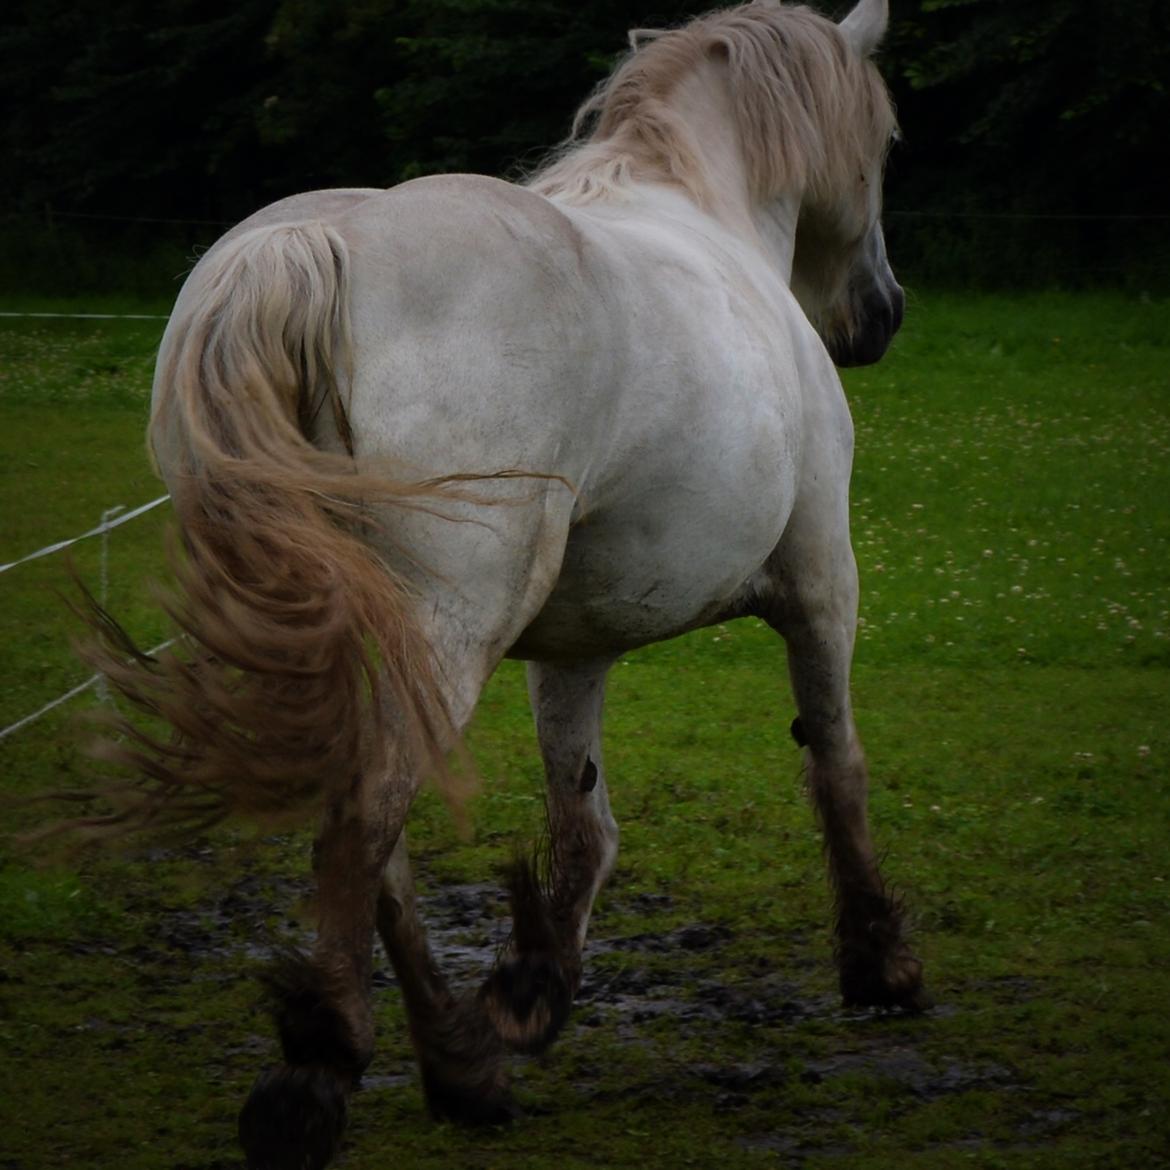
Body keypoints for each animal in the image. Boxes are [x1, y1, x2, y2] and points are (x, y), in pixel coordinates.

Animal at [80, 4, 921, 1165]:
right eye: (883, 147)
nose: (881, 315)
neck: (703, 213)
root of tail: (309, 248)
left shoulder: (577, 640)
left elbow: (582, 816)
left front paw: (534, 987)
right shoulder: (821, 579)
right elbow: (837, 765)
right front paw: (881, 964)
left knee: (380, 845)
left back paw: (461, 1065)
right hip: (446, 629)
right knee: (366, 815)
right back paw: (321, 1070)